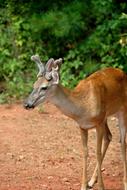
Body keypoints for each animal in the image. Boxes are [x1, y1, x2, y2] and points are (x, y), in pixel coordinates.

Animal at [24, 54, 127, 189]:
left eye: (44, 87)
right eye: (34, 85)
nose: (26, 104)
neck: (83, 107)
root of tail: (123, 72)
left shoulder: (98, 123)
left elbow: (97, 153)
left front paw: (101, 187)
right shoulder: (82, 126)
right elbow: (85, 152)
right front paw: (84, 185)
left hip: (122, 111)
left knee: (122, 143)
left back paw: (124, 183)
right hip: (106, 116)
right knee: (109, 136)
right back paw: (91, 181)